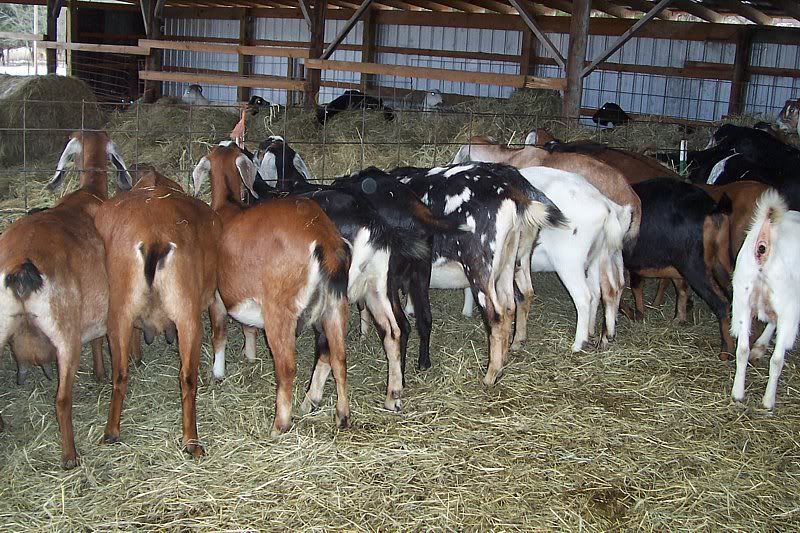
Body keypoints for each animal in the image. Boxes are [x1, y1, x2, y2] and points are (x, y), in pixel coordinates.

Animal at [0, 131, 132, 469]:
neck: (87, 194)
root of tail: (21, 266)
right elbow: (99, 340)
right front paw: (100, 373)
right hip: (64, 335)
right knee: (61, 400)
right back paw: (70, 456)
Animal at [94, 168, 221, 456]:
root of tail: (155, 237)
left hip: (122, 314)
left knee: (122, 373)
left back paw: (113, 432)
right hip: (185, 315)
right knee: (185, 377)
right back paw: (191, 442)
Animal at [193, 144, 351, 434]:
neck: (227, 208)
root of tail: (324, 240)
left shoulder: (217, 297)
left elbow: (219, 333)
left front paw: (218, 373)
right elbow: (247, 327)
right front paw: (250, 356)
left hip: (280, 312)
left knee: (287, 368)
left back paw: (280, 425)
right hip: (336, 306)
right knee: (339, 358)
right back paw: (342, 416)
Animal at [731, 189, 800, 410]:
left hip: (742, 296)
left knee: (742, 349)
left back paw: (738, 393)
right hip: (788, 304)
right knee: (777, 359)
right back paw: (768, 401)